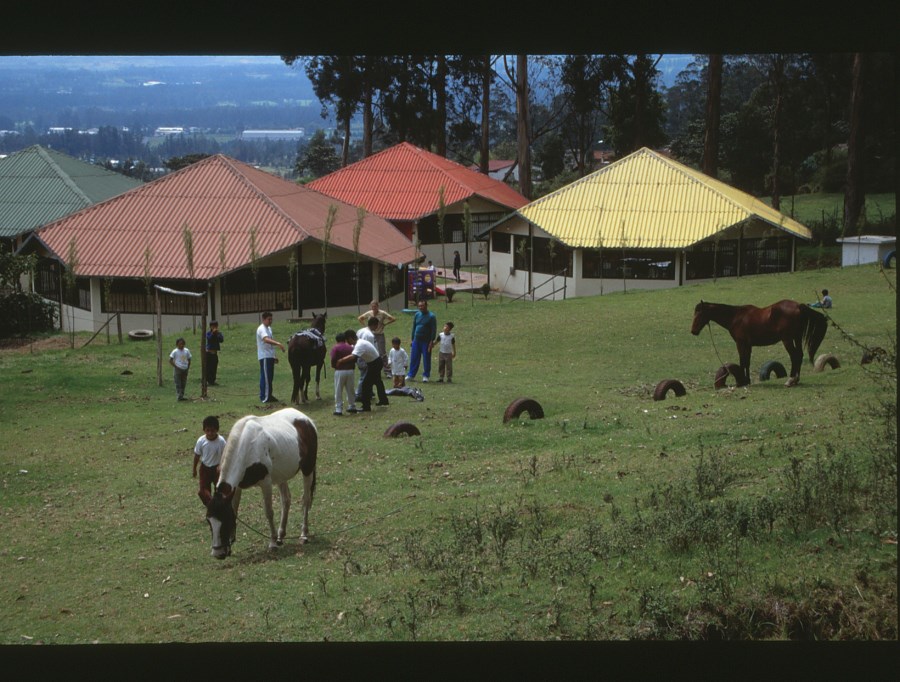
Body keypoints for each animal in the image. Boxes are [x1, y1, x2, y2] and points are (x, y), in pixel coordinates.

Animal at [206, 404, 318, 556]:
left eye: (224, 520)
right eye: (209, 521)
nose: (218, 554)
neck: (247, 445)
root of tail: (307, 420)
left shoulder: (266, 483)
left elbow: (269, 512)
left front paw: (272, 543)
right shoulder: (237, 487)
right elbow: (235, 509)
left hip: (308, 469)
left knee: (306, 500)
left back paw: (303, 535)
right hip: (281, 476)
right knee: (286, 500)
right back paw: (281, 536)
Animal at [688, 298, 828, 386]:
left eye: (699, 314)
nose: (693, 331)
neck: (736, 317)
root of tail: (799, 306)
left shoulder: (740, 344)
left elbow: (742, 361)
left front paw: (741, 381)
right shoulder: (748, 345)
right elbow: (747, 362)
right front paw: (747, 380)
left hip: (787, 340)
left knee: (794, 356)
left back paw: (790, 380)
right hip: (796, 338)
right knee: (799, 356)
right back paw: (796, 380)